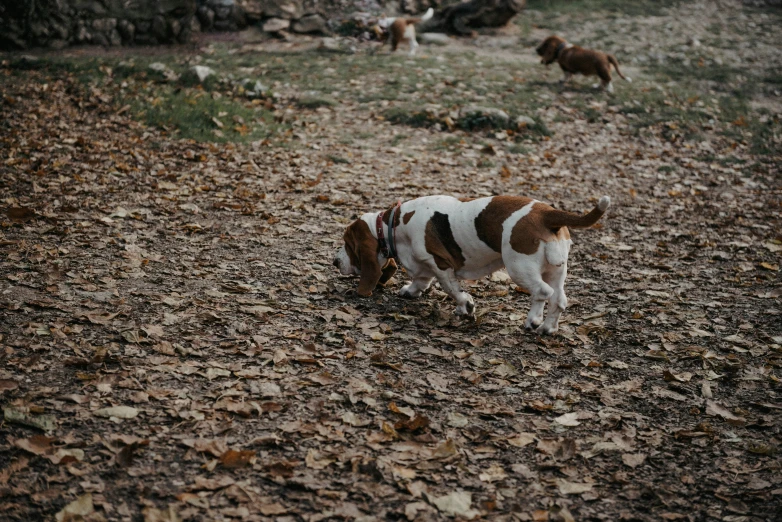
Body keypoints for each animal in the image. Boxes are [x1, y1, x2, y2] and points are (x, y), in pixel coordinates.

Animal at [332, 194, 612, 334]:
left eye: (347, 244)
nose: (335, 261)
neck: (393, 224)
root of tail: (547, 214)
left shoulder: (439, 263)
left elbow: (451, 288)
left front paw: (465, 306)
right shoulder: (424, 264)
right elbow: (420, 279)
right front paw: (411, 291)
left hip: (519, 267)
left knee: (543, 292)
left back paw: (533, 321)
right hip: (556, 270)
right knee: (559, 300)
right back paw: (548, 328)